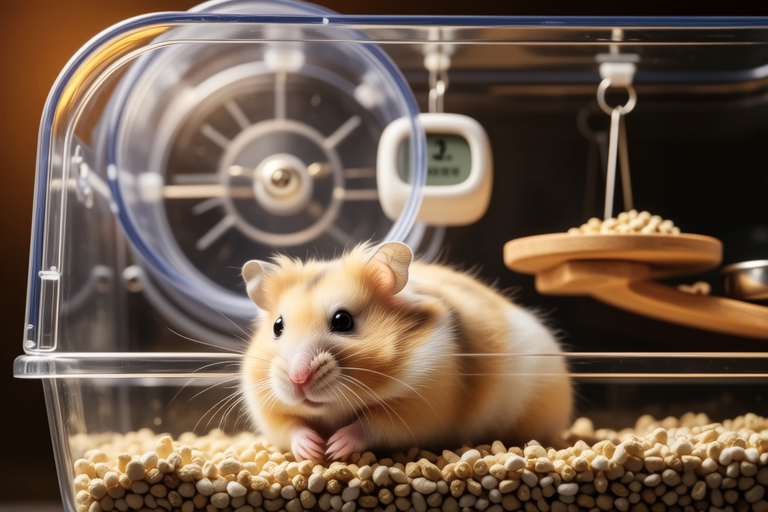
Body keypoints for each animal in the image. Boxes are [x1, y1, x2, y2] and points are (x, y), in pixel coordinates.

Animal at [240, 242, 572, 461]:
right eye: (277, 326)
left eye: (342, 321)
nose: (298, 379)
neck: (334, 409)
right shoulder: (266, 406)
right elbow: (290, 427)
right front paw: (312, 449)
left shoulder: (424, 404)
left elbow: (373, 426)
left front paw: (334, 447)